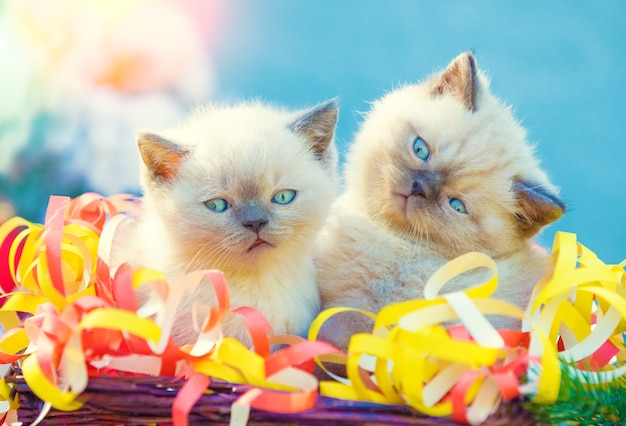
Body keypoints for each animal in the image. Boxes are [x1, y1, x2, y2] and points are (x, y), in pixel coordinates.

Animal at [314, 51, 564, 352]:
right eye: (420, 149)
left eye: (456, 205)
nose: (418, 188)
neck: (384, 235)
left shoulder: (374, 312)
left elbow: (342, 329)